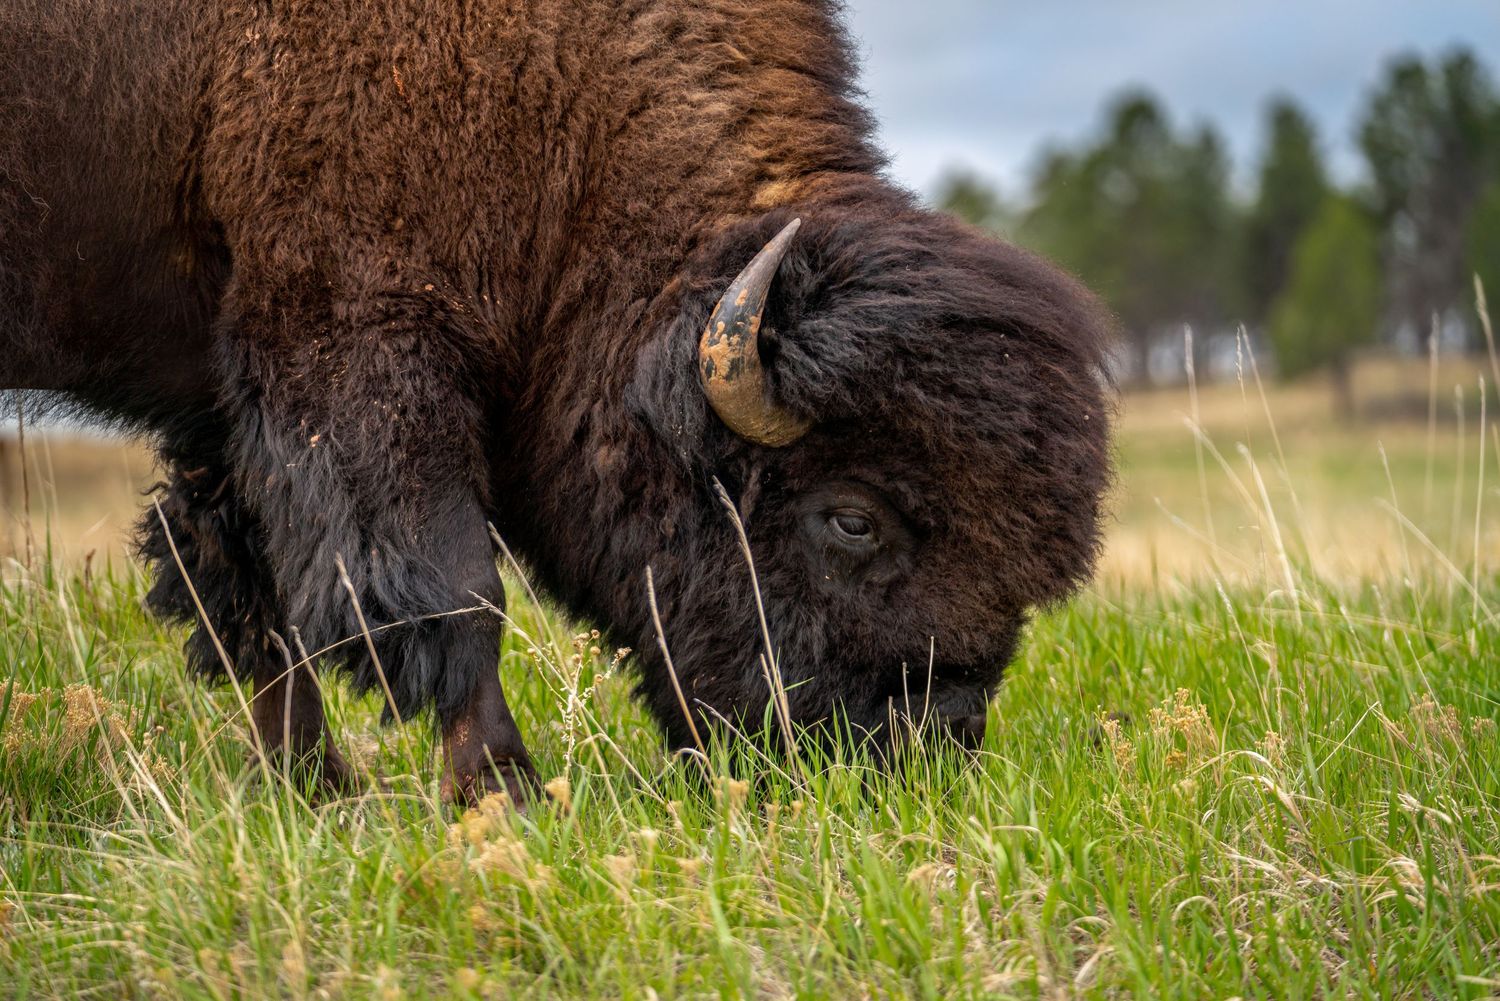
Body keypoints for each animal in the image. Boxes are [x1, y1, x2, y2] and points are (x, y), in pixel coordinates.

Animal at [1, 1, 1113, 804]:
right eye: (851, 517)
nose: (923, 755)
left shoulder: (227, 401)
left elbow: (246, 596)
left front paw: (311, 798)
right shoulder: (357, 339)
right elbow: (449, 589)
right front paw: (506, 795)